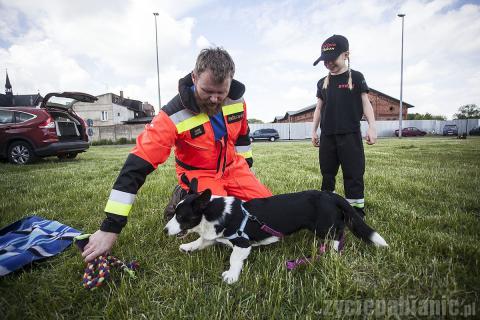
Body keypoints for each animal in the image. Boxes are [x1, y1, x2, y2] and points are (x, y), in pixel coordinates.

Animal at [163, 181, 388, 284]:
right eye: (174, 214)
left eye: (181, 217)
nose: (165, 231)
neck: (213, 211)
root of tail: (331, 196)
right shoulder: (216, 235)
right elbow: (201, 241)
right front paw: (187, 247)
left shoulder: (242, 244)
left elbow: (234, 259)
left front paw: (231, 276)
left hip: (325, 226)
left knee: (338, 233)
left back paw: (332, 253)